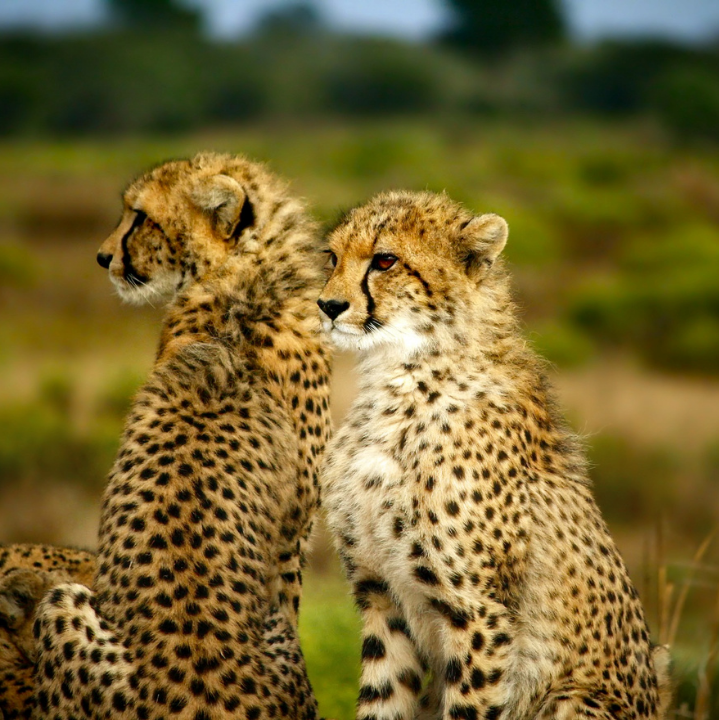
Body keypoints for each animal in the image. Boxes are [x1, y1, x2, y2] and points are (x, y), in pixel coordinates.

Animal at [318, 191, 672, 720]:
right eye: (332, 257)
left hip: (571, 699)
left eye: (385, 261)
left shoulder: (479, 614)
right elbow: (383, 699)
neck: (399, 376)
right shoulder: (381, 597)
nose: (328, 305)